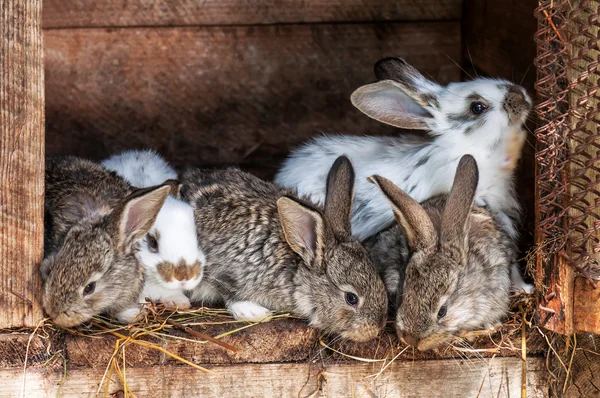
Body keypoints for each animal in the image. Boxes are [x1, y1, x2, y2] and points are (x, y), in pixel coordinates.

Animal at [182, 155, 390, 342]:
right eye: (351, 298)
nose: (377, 328)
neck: (297, 267)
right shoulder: (229, 270)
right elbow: (230, 294)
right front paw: (254, 312)